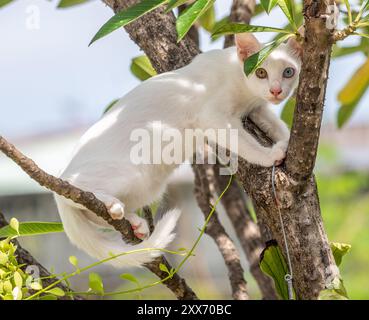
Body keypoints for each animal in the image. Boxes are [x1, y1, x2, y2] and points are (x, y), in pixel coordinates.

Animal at [55, 33, 302, 268]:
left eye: (289, 72)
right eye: (261, 72)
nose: (276, 90)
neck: (242, 87)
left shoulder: (257, 110)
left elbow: (277, 125)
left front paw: (286, 142)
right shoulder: (213, 117)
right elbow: (244, 142)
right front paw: (270, 155)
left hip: (148, 186)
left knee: (91, 213)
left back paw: (133, 222)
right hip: (125, 173)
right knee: (73, 191)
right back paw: (109, 204)